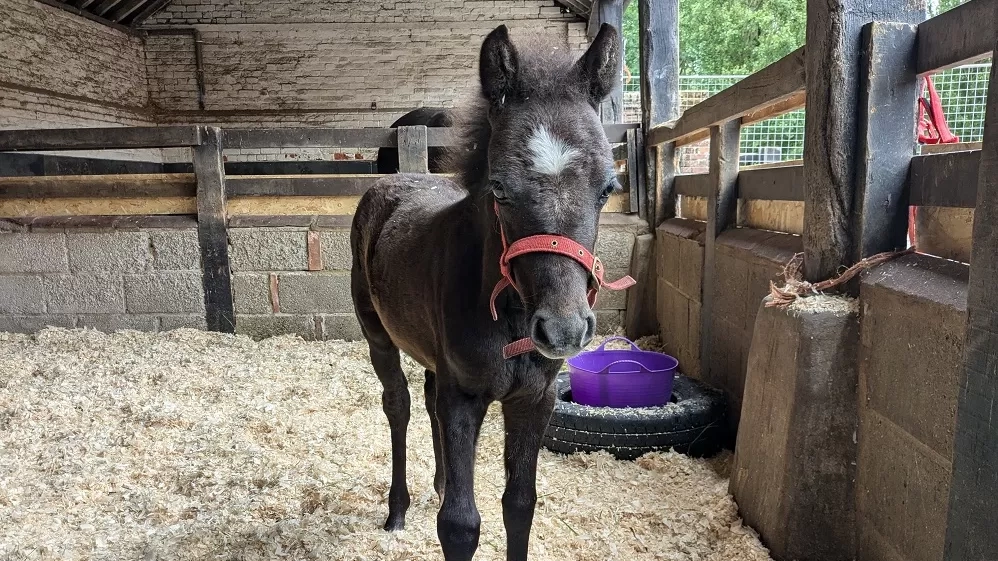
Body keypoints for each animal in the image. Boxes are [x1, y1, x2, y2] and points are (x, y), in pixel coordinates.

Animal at [350, 23, 628, 561]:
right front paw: (439, 509)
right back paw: (398, 509)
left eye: (608, 188)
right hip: (378, 336)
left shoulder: (535, 399)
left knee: (428, 398)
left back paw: (438, 482)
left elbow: (519, 506)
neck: (510, 315)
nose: (563, 330)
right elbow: (460, 523)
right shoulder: (465, 396)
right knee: (399, 405)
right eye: (499, 188)